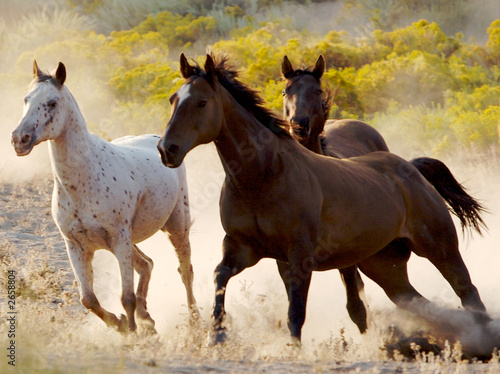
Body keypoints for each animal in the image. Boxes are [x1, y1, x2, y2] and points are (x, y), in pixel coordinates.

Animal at [10, 62, 198, 334]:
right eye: (26, 99)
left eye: (52, 102)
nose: (19, 140)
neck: (85, 183)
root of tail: (160, 142)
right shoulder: (76, 246)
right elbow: (88, 299)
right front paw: (121, 325)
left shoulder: (119, 240)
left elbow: (126, 297)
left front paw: (131, 334)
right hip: (128, 241)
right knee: (147, 264)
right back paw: (147, 318)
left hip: (175, 227)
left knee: (185, 271)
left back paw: (195, 320)